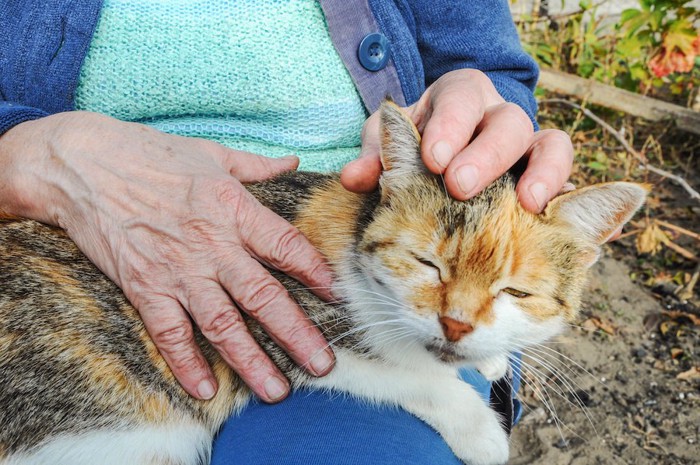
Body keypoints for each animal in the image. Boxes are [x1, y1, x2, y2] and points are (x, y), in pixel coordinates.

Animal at [0, 102, 644, 464]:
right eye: (427, 263)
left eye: (515, 292)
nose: (457, 323)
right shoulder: (279, 320)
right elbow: (400, 372)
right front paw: (479, 428)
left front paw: (490, 355)